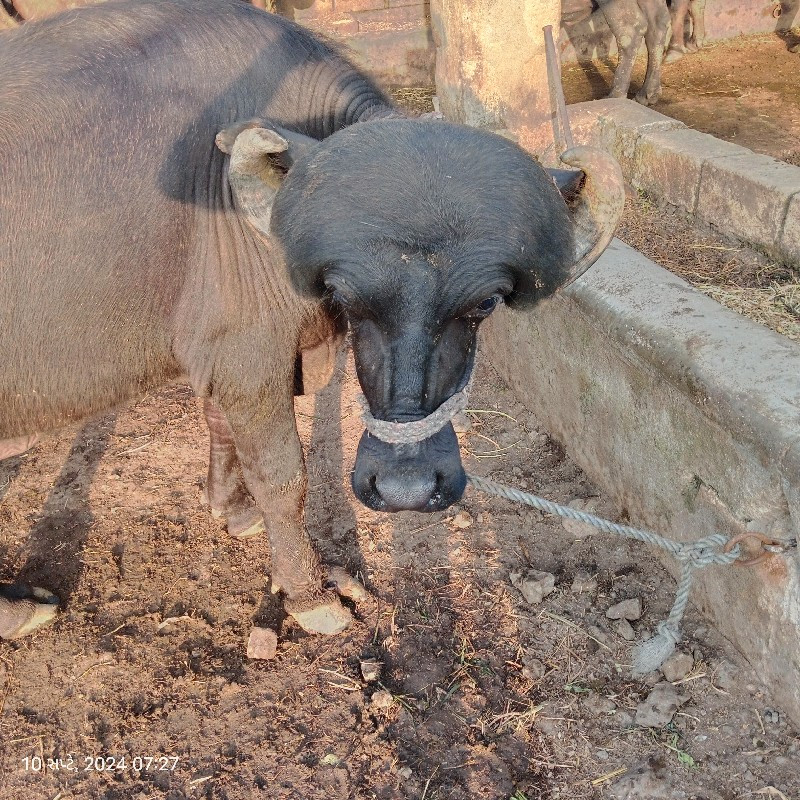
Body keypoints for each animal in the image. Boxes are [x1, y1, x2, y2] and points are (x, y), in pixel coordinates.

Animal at [0, 0, 624, 640]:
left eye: (486, 302)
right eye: (344, 295)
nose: (405, 487)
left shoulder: (226, 354)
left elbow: (221, 426)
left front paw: (234, 510)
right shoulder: (247, 355)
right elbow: (282, 475)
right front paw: (308, 594)